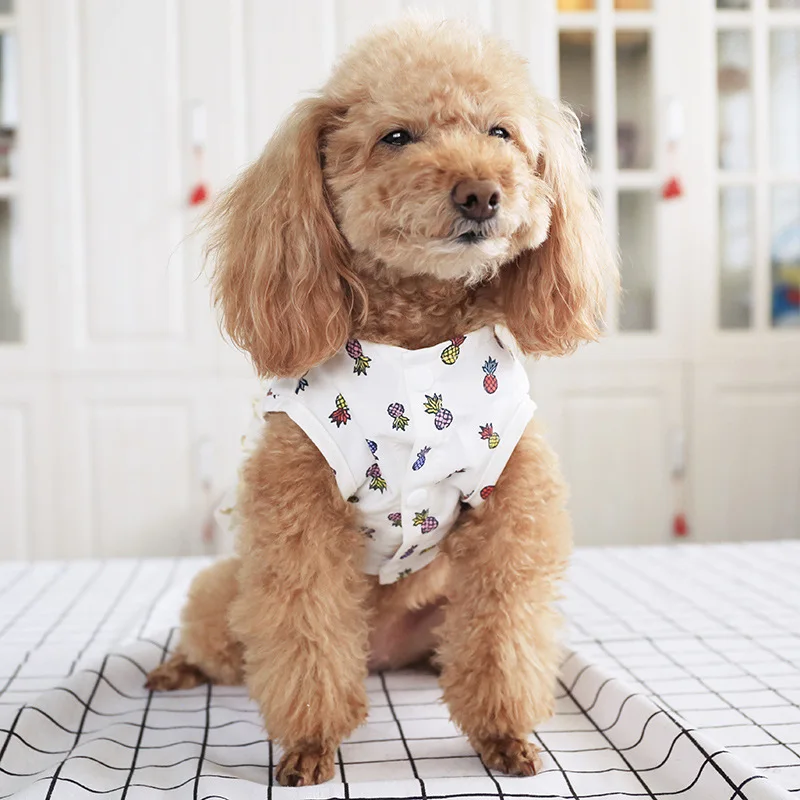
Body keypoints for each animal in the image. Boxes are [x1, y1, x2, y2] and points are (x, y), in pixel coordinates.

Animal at [146, 16, 616, 787]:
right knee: (225, 642)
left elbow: (504, 631)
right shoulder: (297, 517)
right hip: (228, 587)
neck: (418, 350)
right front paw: (310, 746)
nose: (480, 193)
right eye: (396, 136)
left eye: (500, 132)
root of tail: (384, 656)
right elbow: (305, 633)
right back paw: (179, 670)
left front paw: (503, 736)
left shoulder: (510, 513)